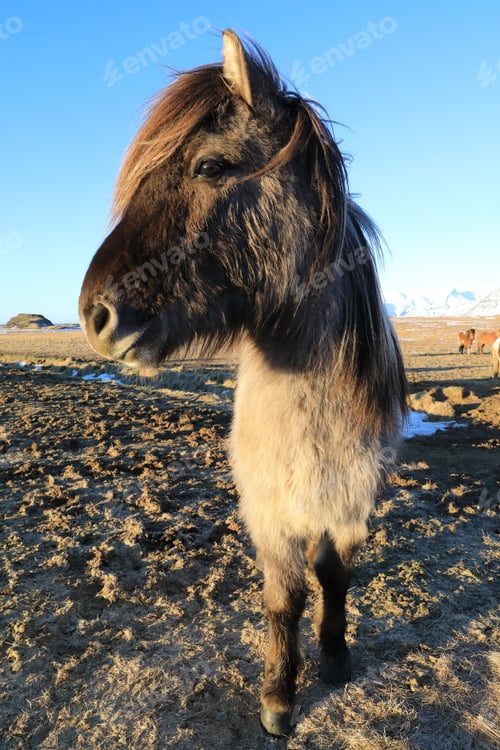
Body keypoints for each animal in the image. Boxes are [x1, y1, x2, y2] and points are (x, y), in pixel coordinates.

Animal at [79, 30, 408, 735]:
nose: (95, 316)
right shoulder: (270, 511)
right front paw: (279, 697)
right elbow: (285, 597)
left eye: (209, 167)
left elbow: (333, 576)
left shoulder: (349, 504)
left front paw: (335, 656)